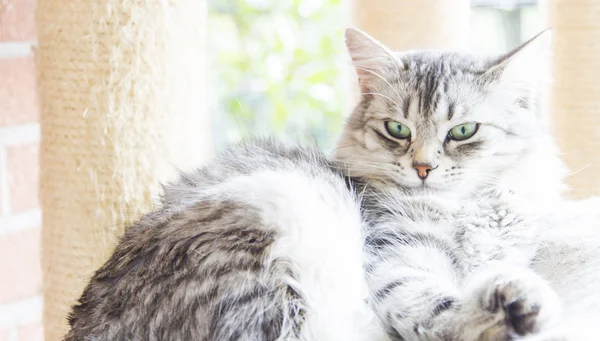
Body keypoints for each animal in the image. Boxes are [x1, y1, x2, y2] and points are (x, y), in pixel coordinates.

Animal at [62, 29, 600, 340]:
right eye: (397, 129)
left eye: (463, 131)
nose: (423, 168)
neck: (467, 210)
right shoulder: (395, 261)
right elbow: (438, 308)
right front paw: (514, 308)